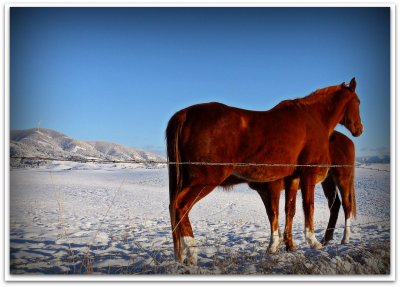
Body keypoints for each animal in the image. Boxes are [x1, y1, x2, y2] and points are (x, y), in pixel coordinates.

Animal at [222, 130, 356, 254]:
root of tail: (348, 141)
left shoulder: (274, 186)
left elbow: (276, 213)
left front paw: (278, 245)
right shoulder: (264, 191)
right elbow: (272, 214)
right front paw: (279, 242)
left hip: (342, 177)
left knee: (346, 205)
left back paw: (345, 239)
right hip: (327, 180)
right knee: (335, 205)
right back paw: (325, 240)